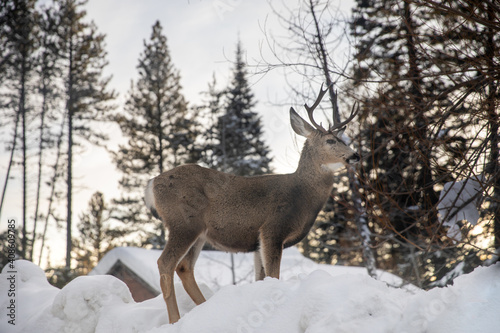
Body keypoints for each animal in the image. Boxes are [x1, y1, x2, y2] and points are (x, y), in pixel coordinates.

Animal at [145, 84, 360, 322]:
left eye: (344, 139)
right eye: (330, 141)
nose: (355, 155)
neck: (302, 196)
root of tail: (152, 183)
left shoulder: (257, 243)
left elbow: (261, 278)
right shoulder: (272, 229)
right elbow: (274, 276)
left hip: (199, 232)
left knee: (184, 267)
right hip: (183, 223)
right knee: (165, 263)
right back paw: (176, 320)